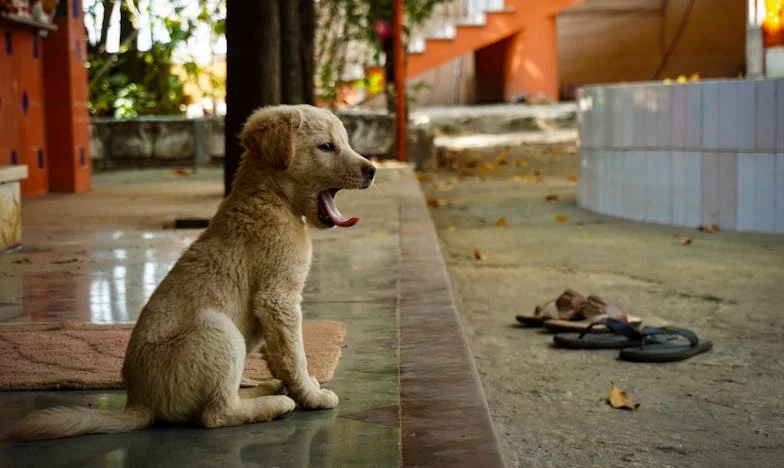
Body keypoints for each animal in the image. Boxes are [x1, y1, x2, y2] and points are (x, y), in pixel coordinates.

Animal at [8, 104, 376, 440]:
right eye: (327, 146)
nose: (372, 170)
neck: (270, 197)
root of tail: (140, 403)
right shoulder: (278, 298)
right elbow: (295, 354)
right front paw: (312, 396)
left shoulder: (273, 307)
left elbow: (280, 354)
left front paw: (298, 385)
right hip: (219, 331)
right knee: (216, 414)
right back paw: (273, 404)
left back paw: (265, 389)